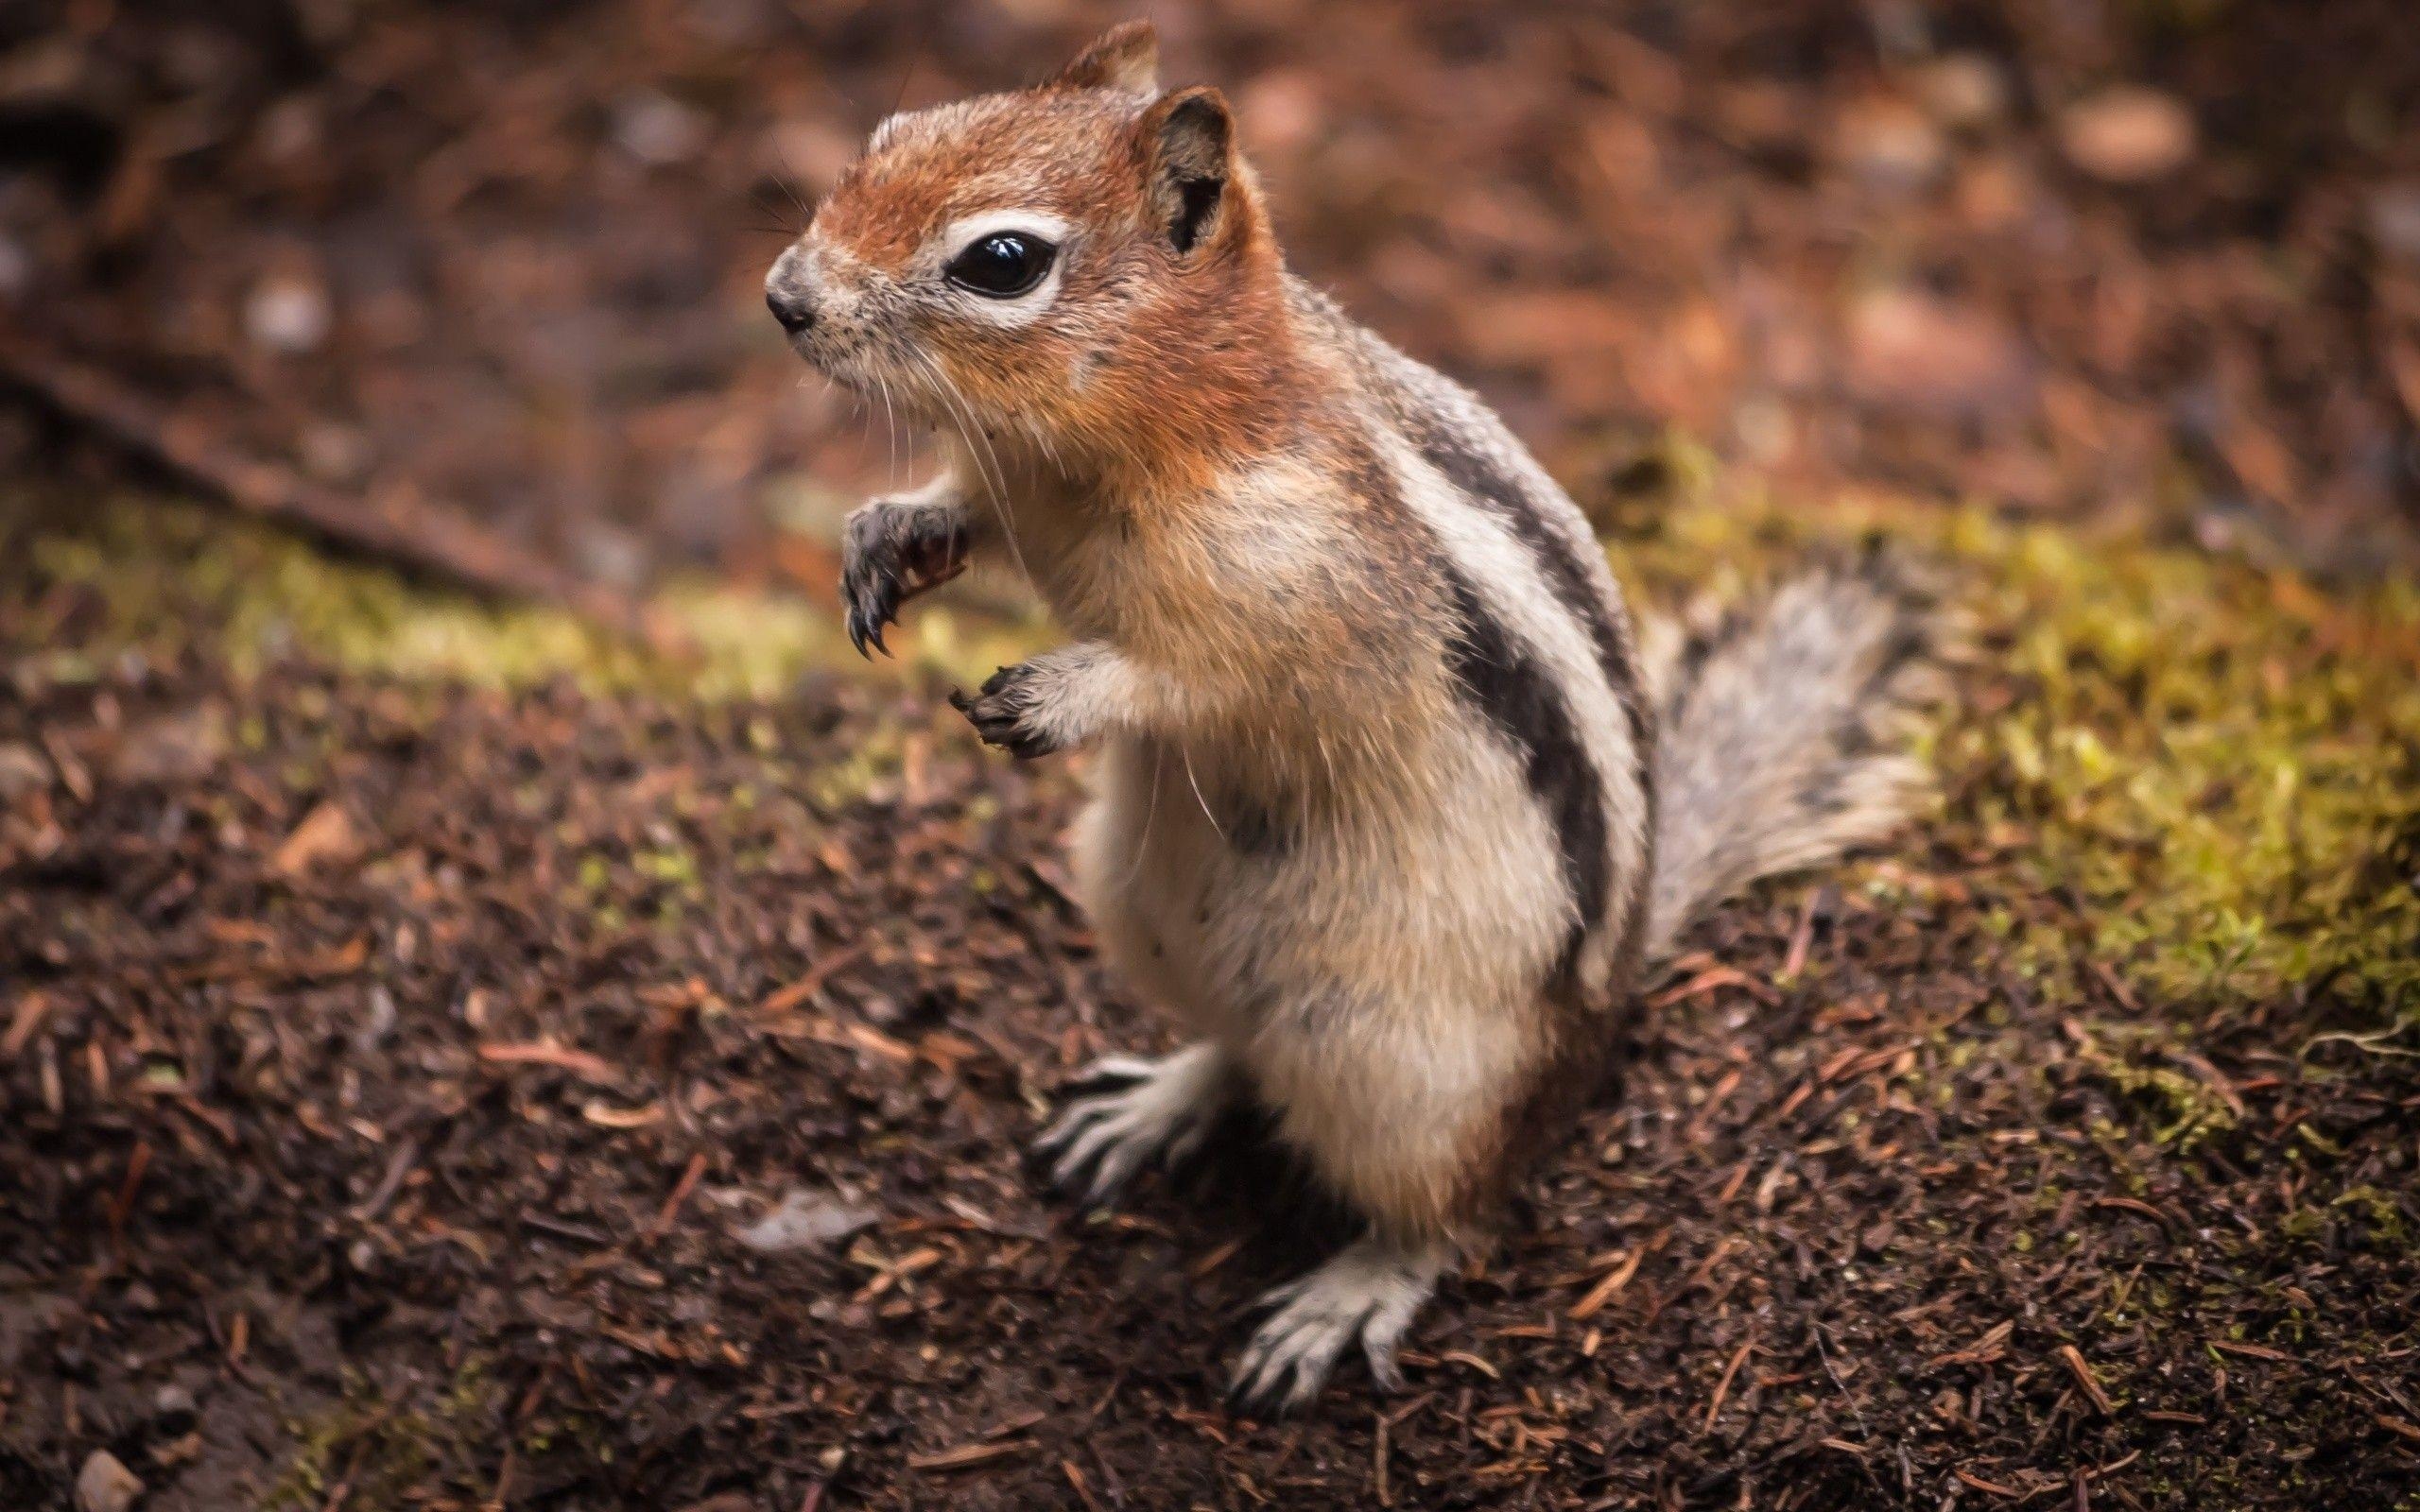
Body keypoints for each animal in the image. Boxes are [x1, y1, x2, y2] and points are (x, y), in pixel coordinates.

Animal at [769, 23, 1945, 1413]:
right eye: (892, 132)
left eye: (1001, 262)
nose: (784, 296)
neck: (1115, 435)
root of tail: (1605, 1009)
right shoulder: (1017, 487)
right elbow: (965, 512)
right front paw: (886, 533)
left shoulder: (1307, 582)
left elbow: (1200, 672)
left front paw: (1061, 691)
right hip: (1140, 910)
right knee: (1240, 1052)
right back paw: (1156, 1102)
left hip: (1409, 1068)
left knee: (1452, 1201)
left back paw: (1354, 1289)